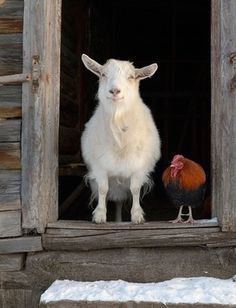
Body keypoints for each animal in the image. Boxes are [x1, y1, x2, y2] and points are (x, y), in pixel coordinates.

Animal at [80, 54, 160, 224]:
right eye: (103, 74)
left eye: (131, 76)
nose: (115, 90)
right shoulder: (99, 165)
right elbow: (103, 188)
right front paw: (99, 215)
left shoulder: (139, 167)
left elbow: (135, 189)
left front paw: (137, 216)